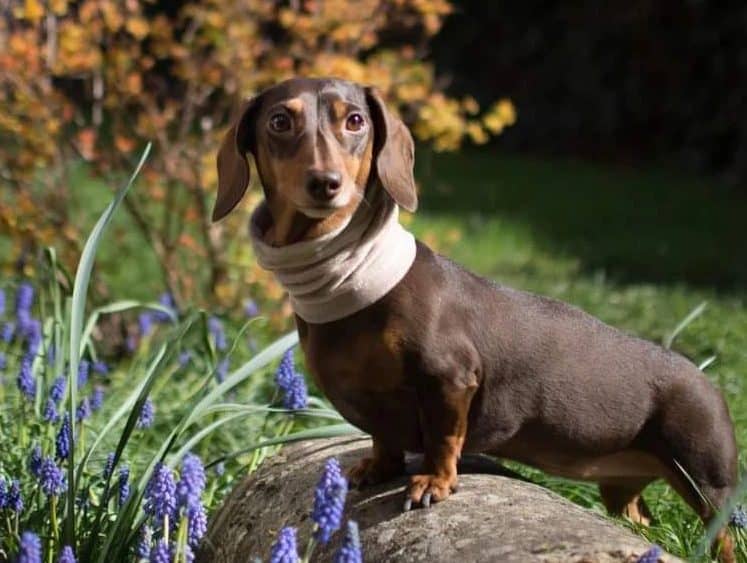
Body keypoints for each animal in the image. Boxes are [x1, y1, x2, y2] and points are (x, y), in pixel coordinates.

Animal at [213, 77, 740, 560]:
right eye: (280, 121)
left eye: (355, 121)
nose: (325, 183)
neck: (351, 286)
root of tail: (705, 378)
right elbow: (383, 437)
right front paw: (377, 468)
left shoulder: (450, 379)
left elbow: (445, 435)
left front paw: (434, 481)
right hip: (623, 489)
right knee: (639, 520)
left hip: (706, 480)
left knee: (725, 535)